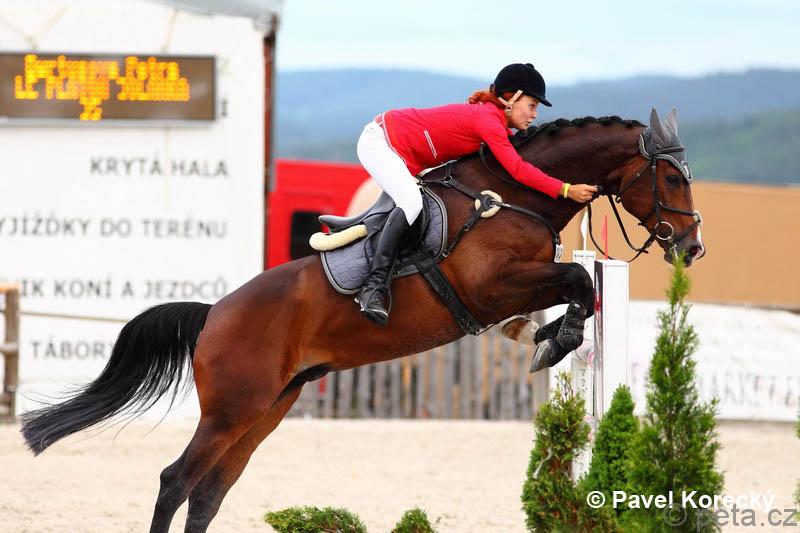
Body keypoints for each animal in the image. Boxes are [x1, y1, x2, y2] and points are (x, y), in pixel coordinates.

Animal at [20, 108, 704, 532]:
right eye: (671, 177)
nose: (693, 248)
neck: (512, 195)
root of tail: (214, 313)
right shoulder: (491, 288)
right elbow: (579, 281)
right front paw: (554, 340)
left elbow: (577, 285)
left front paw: (549, 337)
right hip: (232, 409)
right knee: (175, 481)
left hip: (266, 409)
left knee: (209, 492)